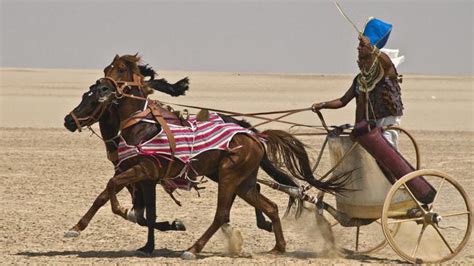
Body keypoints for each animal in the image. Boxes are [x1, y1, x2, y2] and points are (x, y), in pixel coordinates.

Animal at [61, 75, 346, 258]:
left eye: (96, 99)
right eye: (85, 95)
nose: (68, 121)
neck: (141, 128)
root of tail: (255, 137)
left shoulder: (142, 171)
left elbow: (112, 190)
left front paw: (93, 221)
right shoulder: (141, 176)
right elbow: (130, 207)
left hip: (229, 177)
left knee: (222, 214)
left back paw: (194, 249)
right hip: (242, 182)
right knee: (270, 206)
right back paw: (278, 247)